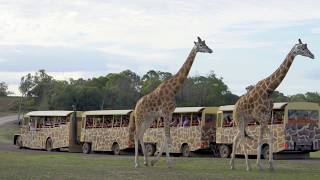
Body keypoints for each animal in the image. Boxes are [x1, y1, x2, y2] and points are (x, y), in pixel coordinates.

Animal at [130, 36, 212, 167]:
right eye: (201, 45)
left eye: (205, 43)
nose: (210, 50)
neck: (174, 90)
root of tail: (136, 105)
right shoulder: (166, 113)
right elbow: (168, 136)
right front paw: (169, 162)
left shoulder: (169, 113)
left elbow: (166, 136)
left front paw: (155, 161)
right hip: (140, 117)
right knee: (136, 134)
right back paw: (137, 163)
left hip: (149, 118)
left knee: (141, 134)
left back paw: (146, 161)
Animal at [230, 38, 316, 171]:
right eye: (302, 48)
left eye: (307, 47)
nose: (312, 55)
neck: (269, 89)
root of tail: (235, 106)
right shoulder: (260, 116)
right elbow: (260, 139)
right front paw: (259, 165)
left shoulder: (266, 115)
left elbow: (270, 136)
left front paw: (271, 165)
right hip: (239, 119)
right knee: (242, 139)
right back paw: (248, 166)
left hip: (246, 120)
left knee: (236, 138)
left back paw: (232, 165)